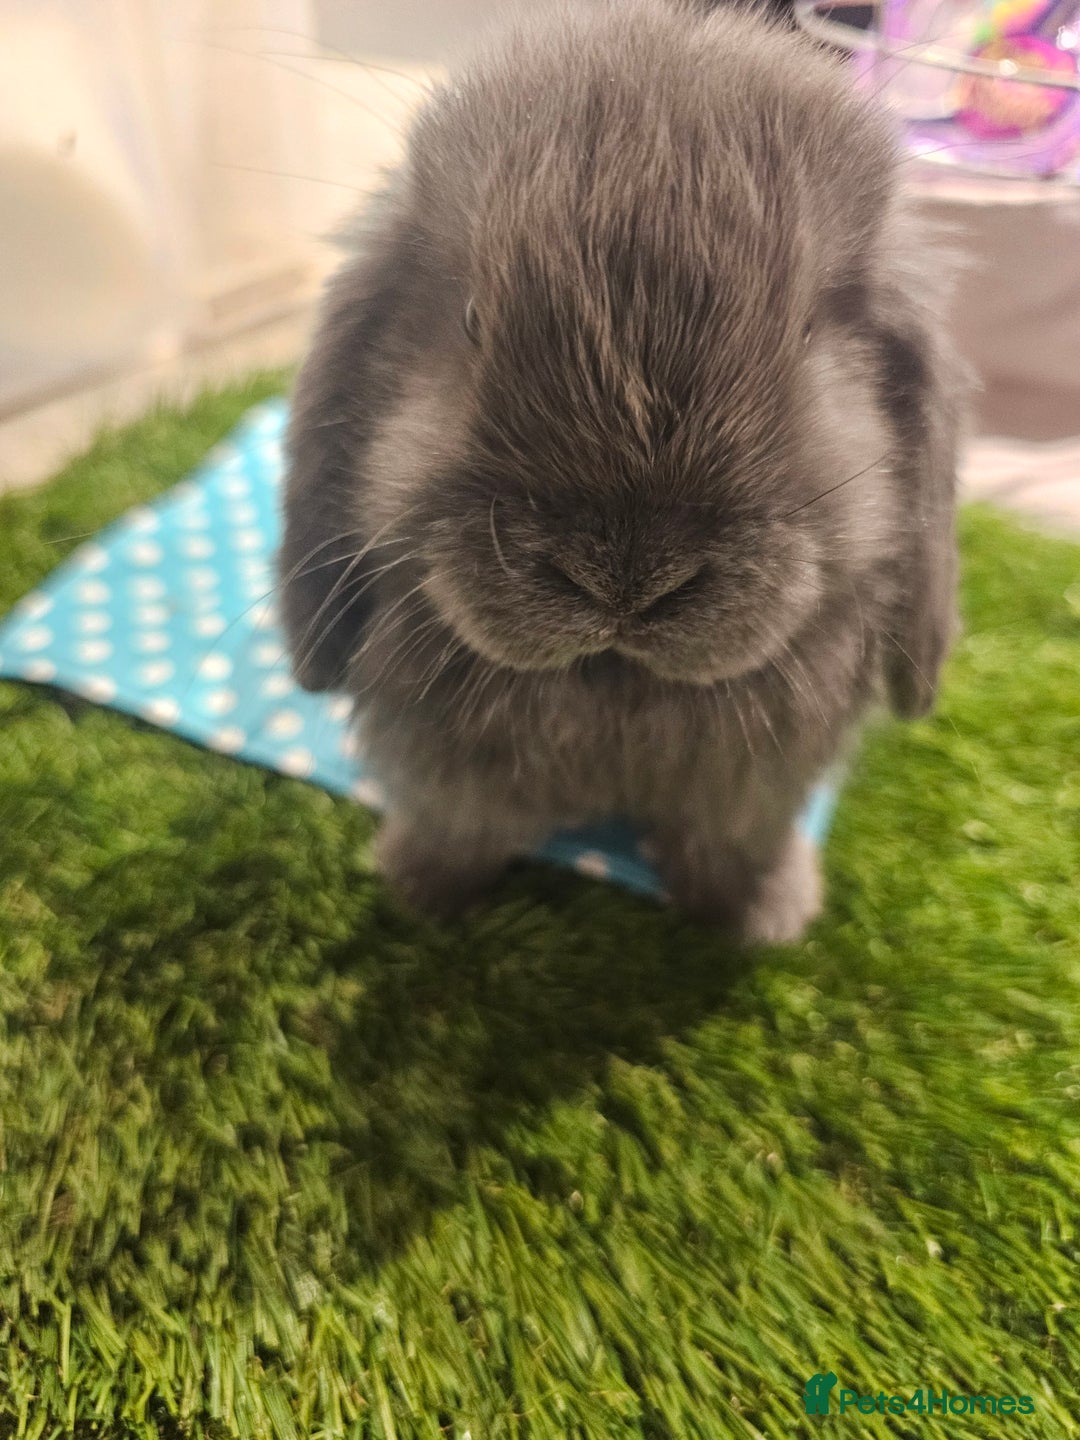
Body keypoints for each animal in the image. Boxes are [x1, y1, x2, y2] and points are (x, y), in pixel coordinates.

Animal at [278, 0, 967, 941]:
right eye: (472, 320)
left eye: (805, 336)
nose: (627, 579)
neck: (614, 676)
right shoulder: (450, 782)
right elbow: (460, 827)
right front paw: (421, 893)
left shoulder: (745, 799)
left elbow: (729, 846)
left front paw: (760, 920)